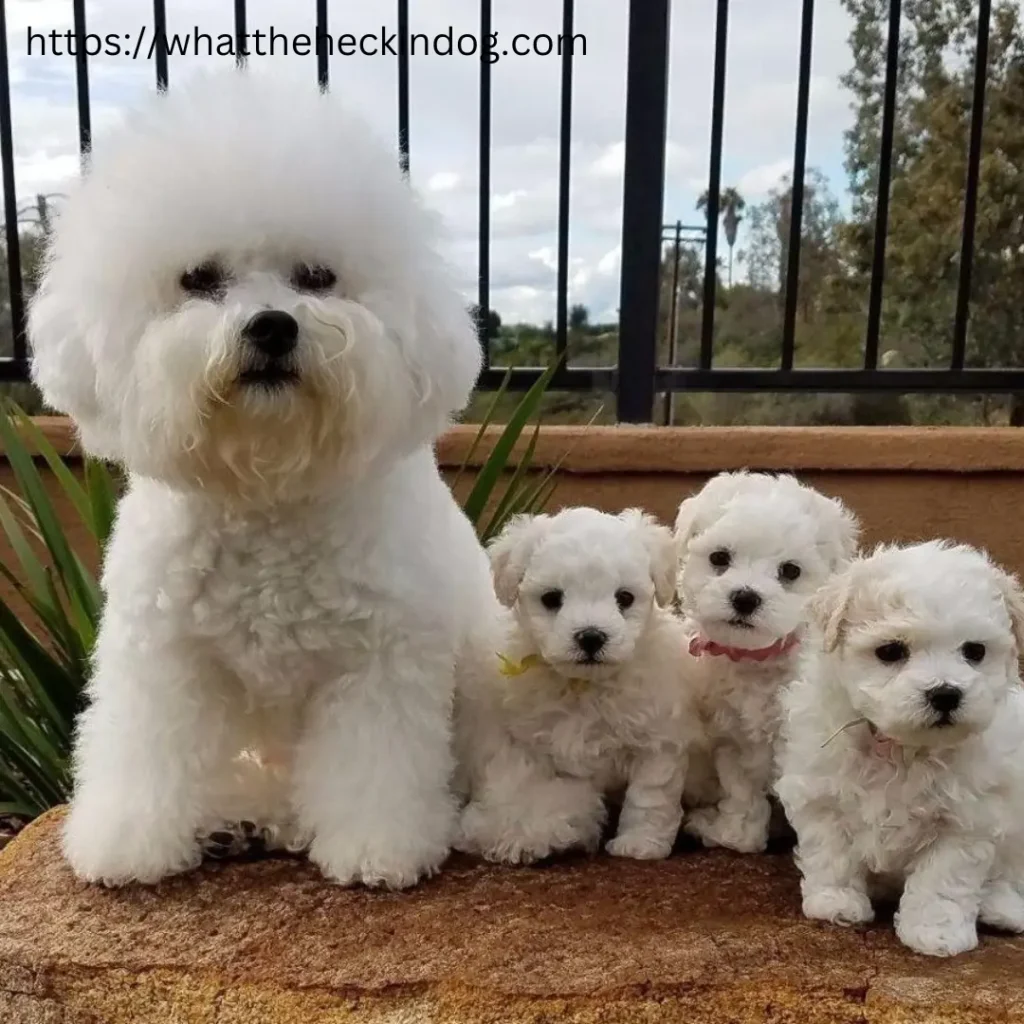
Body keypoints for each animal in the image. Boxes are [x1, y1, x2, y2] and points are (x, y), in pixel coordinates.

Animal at [28, 70, 495, 888]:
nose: (273, 325)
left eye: (318, 277)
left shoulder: (378, 665)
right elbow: (143, 751)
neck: (268, 484)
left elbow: (375, 767)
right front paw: (127, 842)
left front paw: (378, 848)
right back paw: (240, 820)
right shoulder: (165, 657)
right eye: (199, 279)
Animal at [454, 505, 696, 864]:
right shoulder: (528, 742)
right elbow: (530, 789)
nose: (591, 636)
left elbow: (649, 796)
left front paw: (640, 843)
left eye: (625, 598)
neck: (585, 687)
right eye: (552, 598)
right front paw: (523, 834)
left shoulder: (657, 739)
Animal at [675, 471, 860, 856]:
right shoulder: (734, 737)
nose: (745, 597)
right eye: (719, 558)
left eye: (790, 571)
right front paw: (734, 834)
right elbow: (741, 791)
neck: (757, 658)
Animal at [774, 544, 1024, 958]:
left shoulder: (965, 822)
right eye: (890, 651)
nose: (946, 693)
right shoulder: (821, 794)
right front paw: (835, 902)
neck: (902, 748)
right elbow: (831, 851)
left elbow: (942, 880)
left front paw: (935, 933)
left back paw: (1002, 909)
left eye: (974, 651)